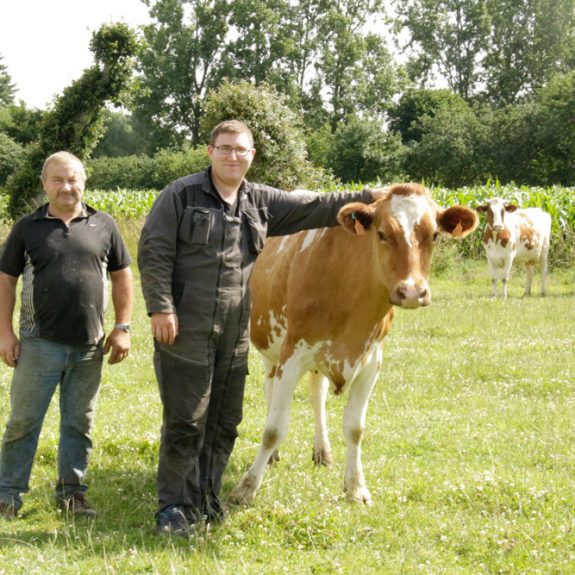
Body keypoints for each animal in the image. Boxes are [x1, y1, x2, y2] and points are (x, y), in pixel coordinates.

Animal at [227, 182, 480, 506]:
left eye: (434, 235)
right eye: (382, 233)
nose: (412, 291)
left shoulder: (371, 361)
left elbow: (355, 428)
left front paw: (356, 487)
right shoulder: (292, 354)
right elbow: (274, 428)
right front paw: (246, 488)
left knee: (316, 393)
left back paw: (322, 451)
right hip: (270, 348)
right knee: (271, 390)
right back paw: (273, 457)